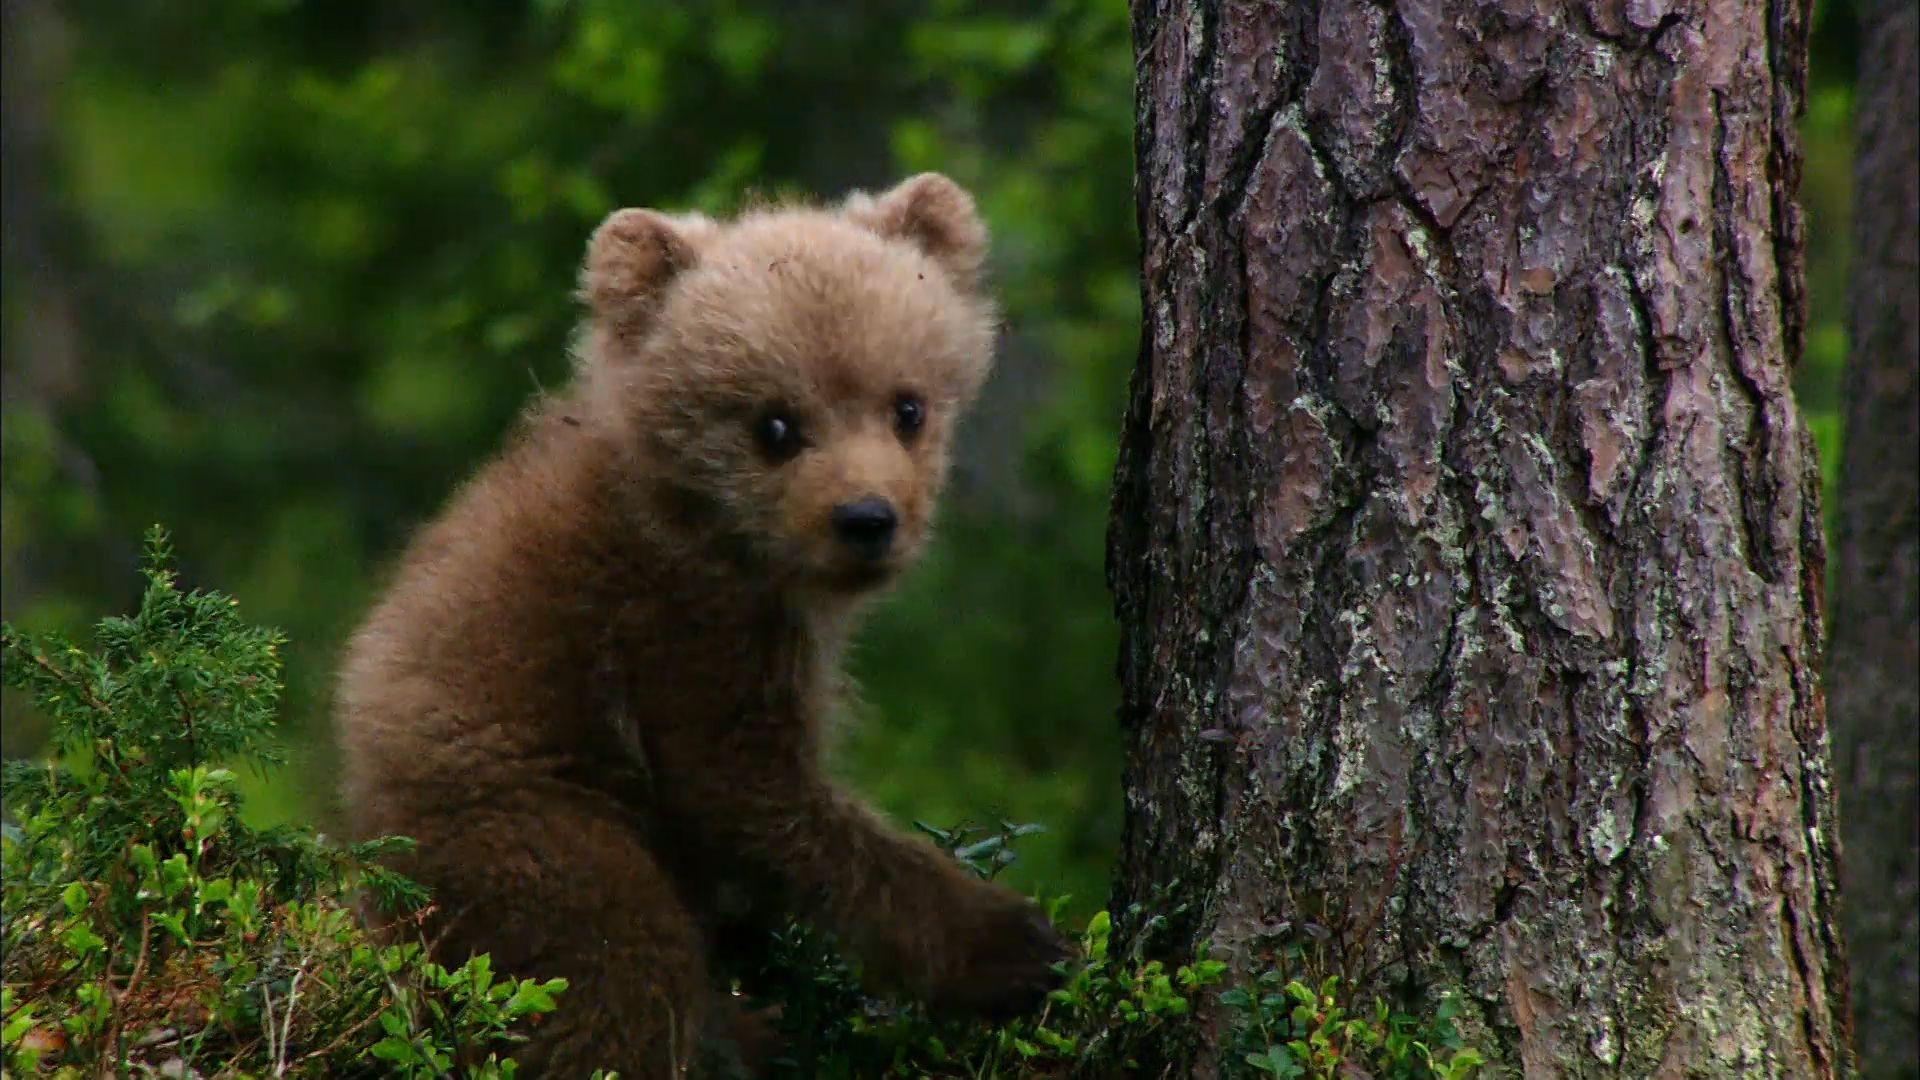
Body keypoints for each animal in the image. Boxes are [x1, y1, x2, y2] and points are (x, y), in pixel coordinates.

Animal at [334, 173, 1071, 1077]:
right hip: (525, 827)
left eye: (908, 406)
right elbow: (752, 794)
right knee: (618, 971)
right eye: (775, 423)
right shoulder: (678, 631)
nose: (867, 518)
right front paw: (1015, 943)